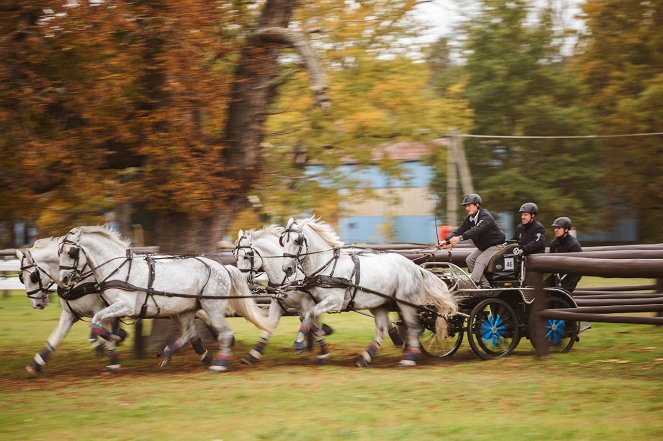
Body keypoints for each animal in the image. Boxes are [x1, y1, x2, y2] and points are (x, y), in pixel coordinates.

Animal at [16, 239, 219, 372]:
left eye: (33, 276)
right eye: (21, 277)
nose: (36, 303)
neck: (83, 279)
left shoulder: (101, 308)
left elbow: (100, 331)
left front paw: (112, 354)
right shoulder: (69, 314)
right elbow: (55, 337)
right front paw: (36, 363)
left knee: (199, 319)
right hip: (173, 308)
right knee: (190, 329)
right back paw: (203, 353)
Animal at [57, 225, 272, 372]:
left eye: (71, 252)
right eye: (59, 252)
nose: (63, 280)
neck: (119, 269)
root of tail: (223, 267)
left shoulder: (126, 306)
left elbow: (96, 321)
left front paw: (102, 342)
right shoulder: (113, 307)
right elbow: (100, 322)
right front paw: (113, 341)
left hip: (213, 308)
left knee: (224, 334)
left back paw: (218, 365)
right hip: (186, 310)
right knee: (188, 333)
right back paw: (170, 354)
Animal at [278, 216, 456, 364]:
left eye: (297, 240)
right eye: (283, 241)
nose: (286, 268)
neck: (328, 266)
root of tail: (414, 267)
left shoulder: (334, 301)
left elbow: (309, 315)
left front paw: (299, 343)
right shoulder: (314, 301)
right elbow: (308, 318)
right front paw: (321, 341)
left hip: (405, 302)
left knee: (413, 327)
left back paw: (409, 358)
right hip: (379, 304)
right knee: (383, 329)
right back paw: (365, 358)